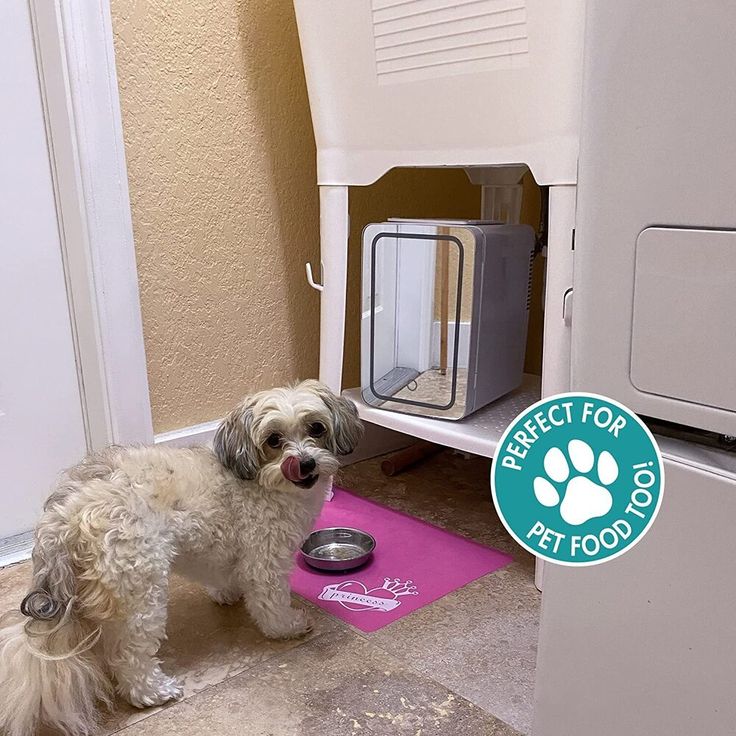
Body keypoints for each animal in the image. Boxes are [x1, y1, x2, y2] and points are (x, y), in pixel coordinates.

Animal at [0, 380, 362, 736]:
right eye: (273, 439)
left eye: (316, 428)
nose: (306, 463)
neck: (259, 480)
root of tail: (64, 514)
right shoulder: (266, 558)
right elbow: (270, 603)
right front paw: (287, 626)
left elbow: (223, 575)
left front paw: (227, 593)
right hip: (142, 590)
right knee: (129, 657)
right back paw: (153, 691)